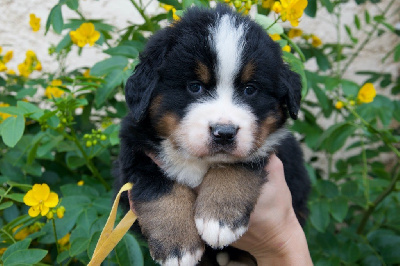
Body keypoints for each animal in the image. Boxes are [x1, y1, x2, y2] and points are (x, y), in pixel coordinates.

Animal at [114, 4, 310, 266]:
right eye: (194, 86)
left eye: (250, 89)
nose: (224, 133)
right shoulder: (136, 151)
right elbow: (160, 188)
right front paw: (177, 245)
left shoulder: (268, 145)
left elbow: (234, 167)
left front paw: (219, 219)